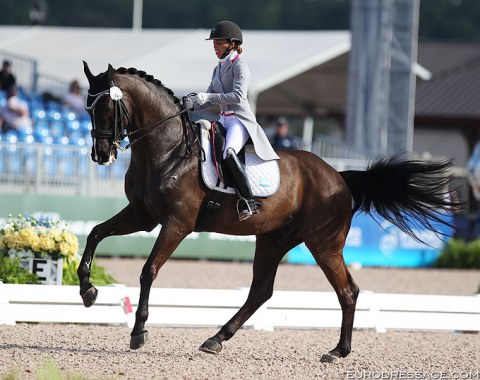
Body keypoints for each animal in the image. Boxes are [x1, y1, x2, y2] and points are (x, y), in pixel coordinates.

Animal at [79, 62, 458, 362]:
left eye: (107, 108)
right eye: (87, 108)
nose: (100, 155)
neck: (168, 149)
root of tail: (339, 177)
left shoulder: (177, 223)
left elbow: (149, 270)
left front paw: (138, 332)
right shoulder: (142, 215)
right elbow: (96, 233)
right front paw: (87, 291)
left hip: (324, 244)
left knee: (347, 291)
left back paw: (338, 351)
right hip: (274, 239)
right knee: (261, 291)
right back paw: (216, 339)